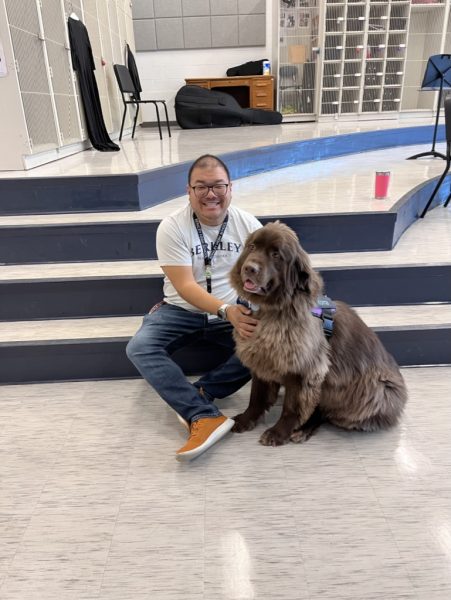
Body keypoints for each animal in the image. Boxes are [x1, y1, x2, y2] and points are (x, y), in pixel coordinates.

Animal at [231, 220, 408, 446]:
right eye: (252, 247)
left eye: (276, 254)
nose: (249, 268)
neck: (274, 311)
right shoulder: (262, 358)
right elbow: (256, 397)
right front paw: (245, 419)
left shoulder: (304, 370)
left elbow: (292, 406)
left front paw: (278, 432)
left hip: (372, 390)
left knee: (324, 412)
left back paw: (302, 429)